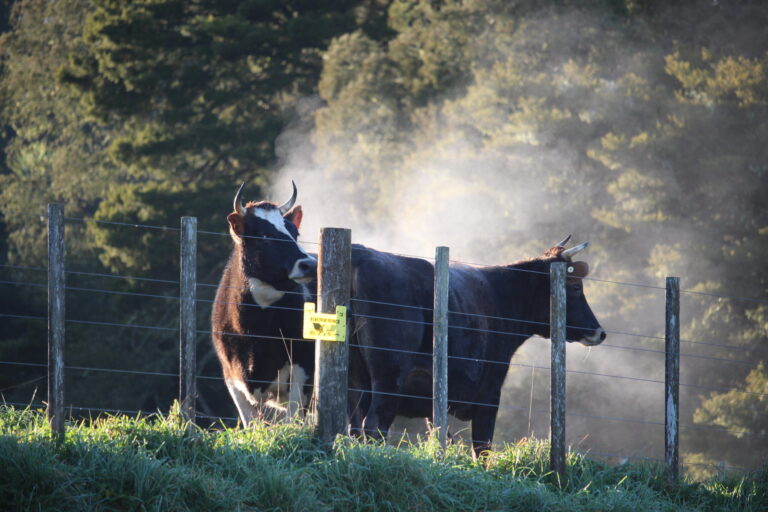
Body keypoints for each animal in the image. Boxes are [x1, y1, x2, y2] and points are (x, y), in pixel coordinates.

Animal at [211, 182, 317, 425]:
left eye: (295, 232)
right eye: (264, 235)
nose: (309, 264)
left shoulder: (304, 369)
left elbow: (293, 421)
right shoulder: (231, 376)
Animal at [348, 236, 605, 456]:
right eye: (576, 287)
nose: (600, 332)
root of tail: (361, 252)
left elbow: (442, 436)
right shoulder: (490, 391)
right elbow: (482, 446)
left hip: (357, 379)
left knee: (354, 426)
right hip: (388, 376)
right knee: (374, 425)